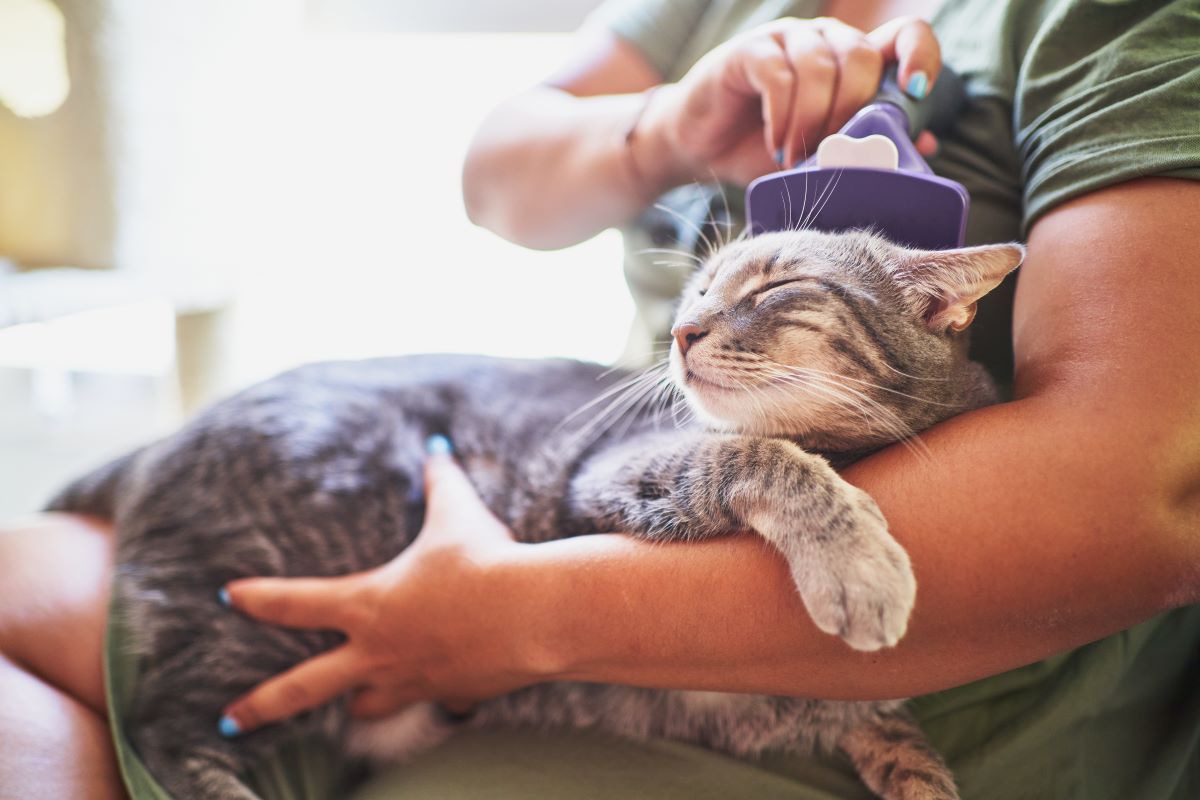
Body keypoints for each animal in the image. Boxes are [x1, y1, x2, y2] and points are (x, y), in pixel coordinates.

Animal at [54, 230, 1022, 800]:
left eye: (775, 286)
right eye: (698, 291)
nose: (682, 333)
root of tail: (163, 441)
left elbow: (901, 745)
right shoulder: (619, 472)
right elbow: (762, 457)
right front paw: (859, 562)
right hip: (261, 616)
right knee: (161, 730)